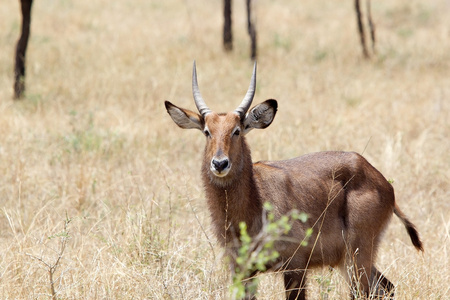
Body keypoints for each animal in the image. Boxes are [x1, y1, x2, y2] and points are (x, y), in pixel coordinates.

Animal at [164, 62, 422, 298]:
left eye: (236, 130)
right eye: (207, 131)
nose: (219, 164)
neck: (254, 204)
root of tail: (381, 181)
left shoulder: (295, 267)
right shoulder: (241, 269)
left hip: (357, 256)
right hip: (349, 260)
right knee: (387, 287)